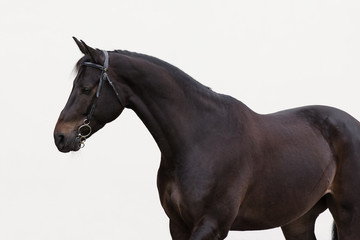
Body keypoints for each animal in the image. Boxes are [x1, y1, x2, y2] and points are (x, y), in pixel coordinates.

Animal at [54, 38, 360, 239]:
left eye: (85, 88)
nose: (60, 136)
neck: (198, 139)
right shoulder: (177, 225)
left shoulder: (211, 225)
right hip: (299, 220)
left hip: (348, 215)